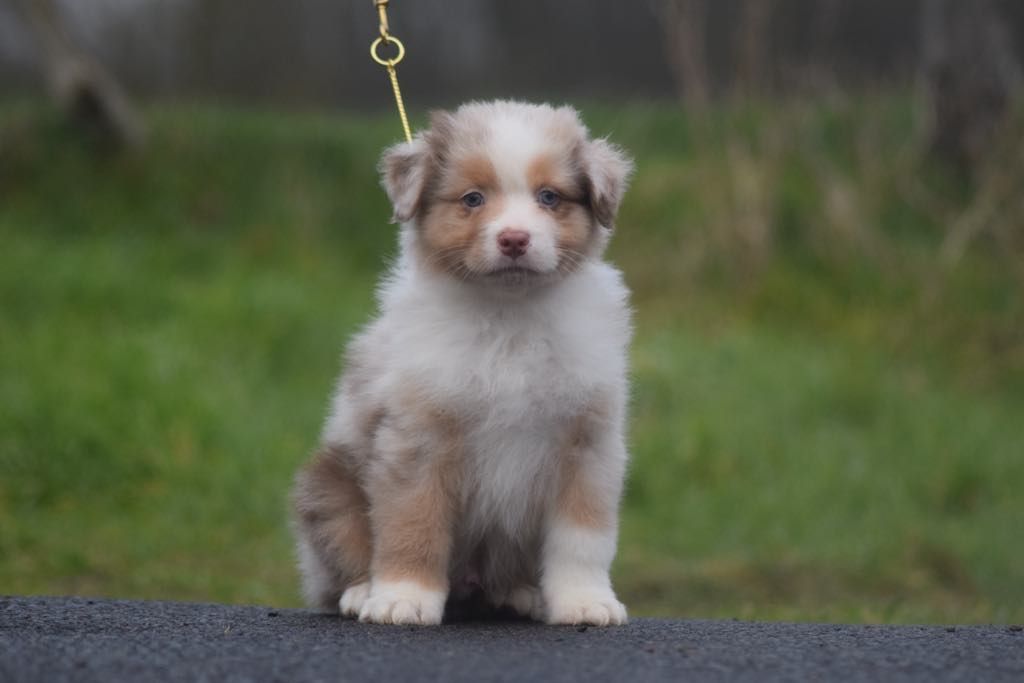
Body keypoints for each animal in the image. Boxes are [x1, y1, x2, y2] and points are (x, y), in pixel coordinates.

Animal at [290, 98, 630, 626]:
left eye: (549, 197)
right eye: (472, 199)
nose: (514, 239)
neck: (509, 315)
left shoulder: (588, 443)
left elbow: (583, 537)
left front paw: (584, 601)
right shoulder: (418, 439)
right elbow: (413, 523)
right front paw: (404, 597)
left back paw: (522, 593)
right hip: (329, 484)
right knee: (338, 562)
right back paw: (362, 591)